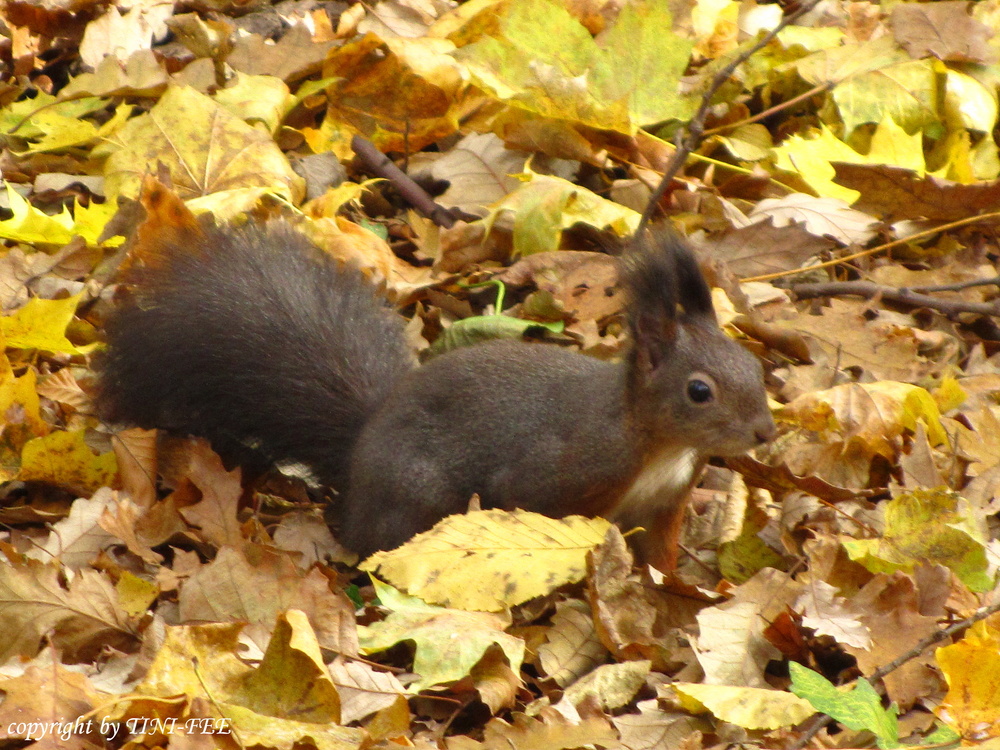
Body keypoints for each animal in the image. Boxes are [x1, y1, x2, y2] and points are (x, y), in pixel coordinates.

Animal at [97, 187, 776, 568]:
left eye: (754, 367)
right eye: (699, 390)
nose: (765, 433)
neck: (654, 442)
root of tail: (357, 463)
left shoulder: (666, 506)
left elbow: (662, 559)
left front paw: (680, 593)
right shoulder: (561, 470)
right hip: (418, 495)